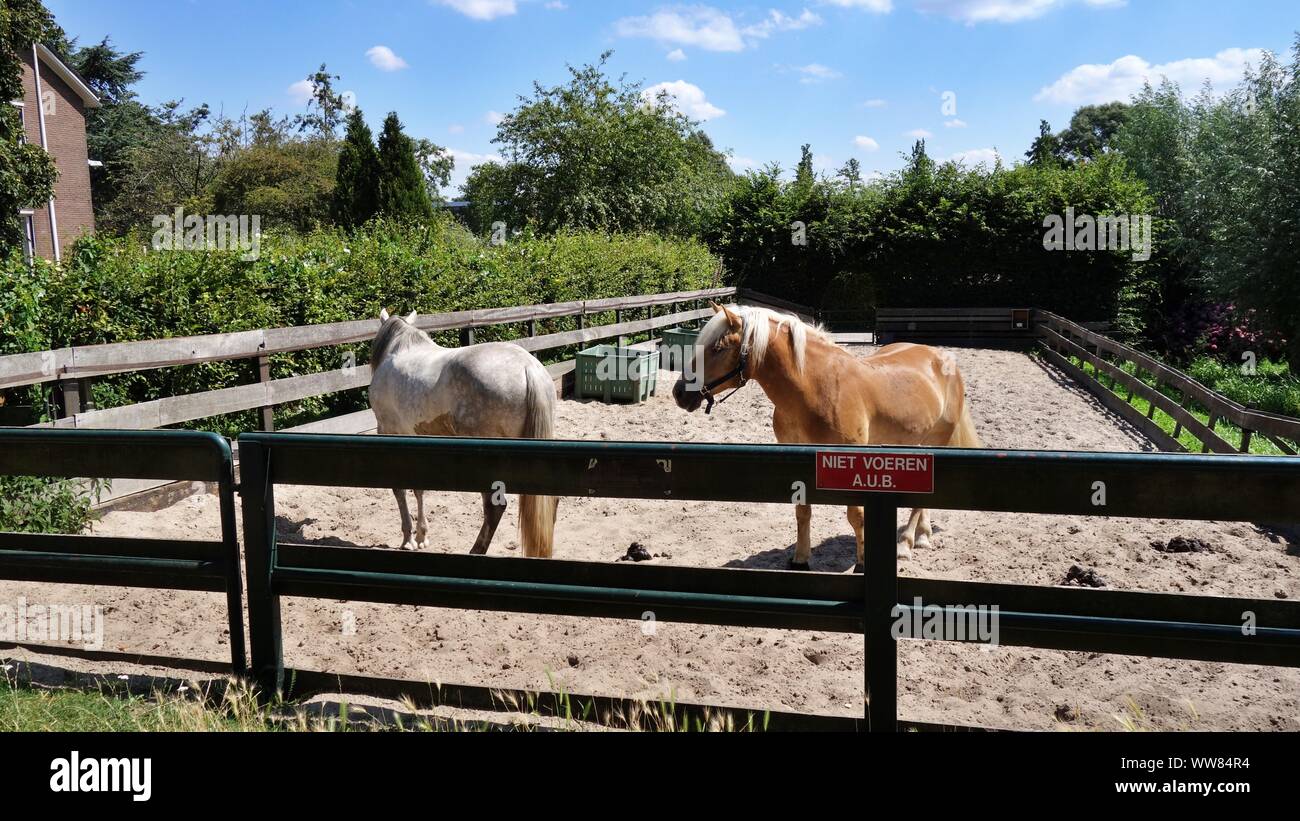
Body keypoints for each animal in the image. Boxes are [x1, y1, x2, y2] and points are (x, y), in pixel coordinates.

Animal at [368, 309, 558, 557]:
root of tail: (528, 368)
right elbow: (419, 488)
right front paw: (421, 537)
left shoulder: (389, 432)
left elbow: (400, 488)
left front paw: (408, 539)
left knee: (494, 506)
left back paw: (476, 549)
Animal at [672, 303, 981, 573]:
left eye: (718, 348)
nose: (679, 393)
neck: (813, 388)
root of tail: (942, 358)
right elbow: (802, 511)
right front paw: (800, 559)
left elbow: (856, 515)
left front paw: (862, 563)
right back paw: (923, 535)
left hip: (937, 440)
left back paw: (905, 544)